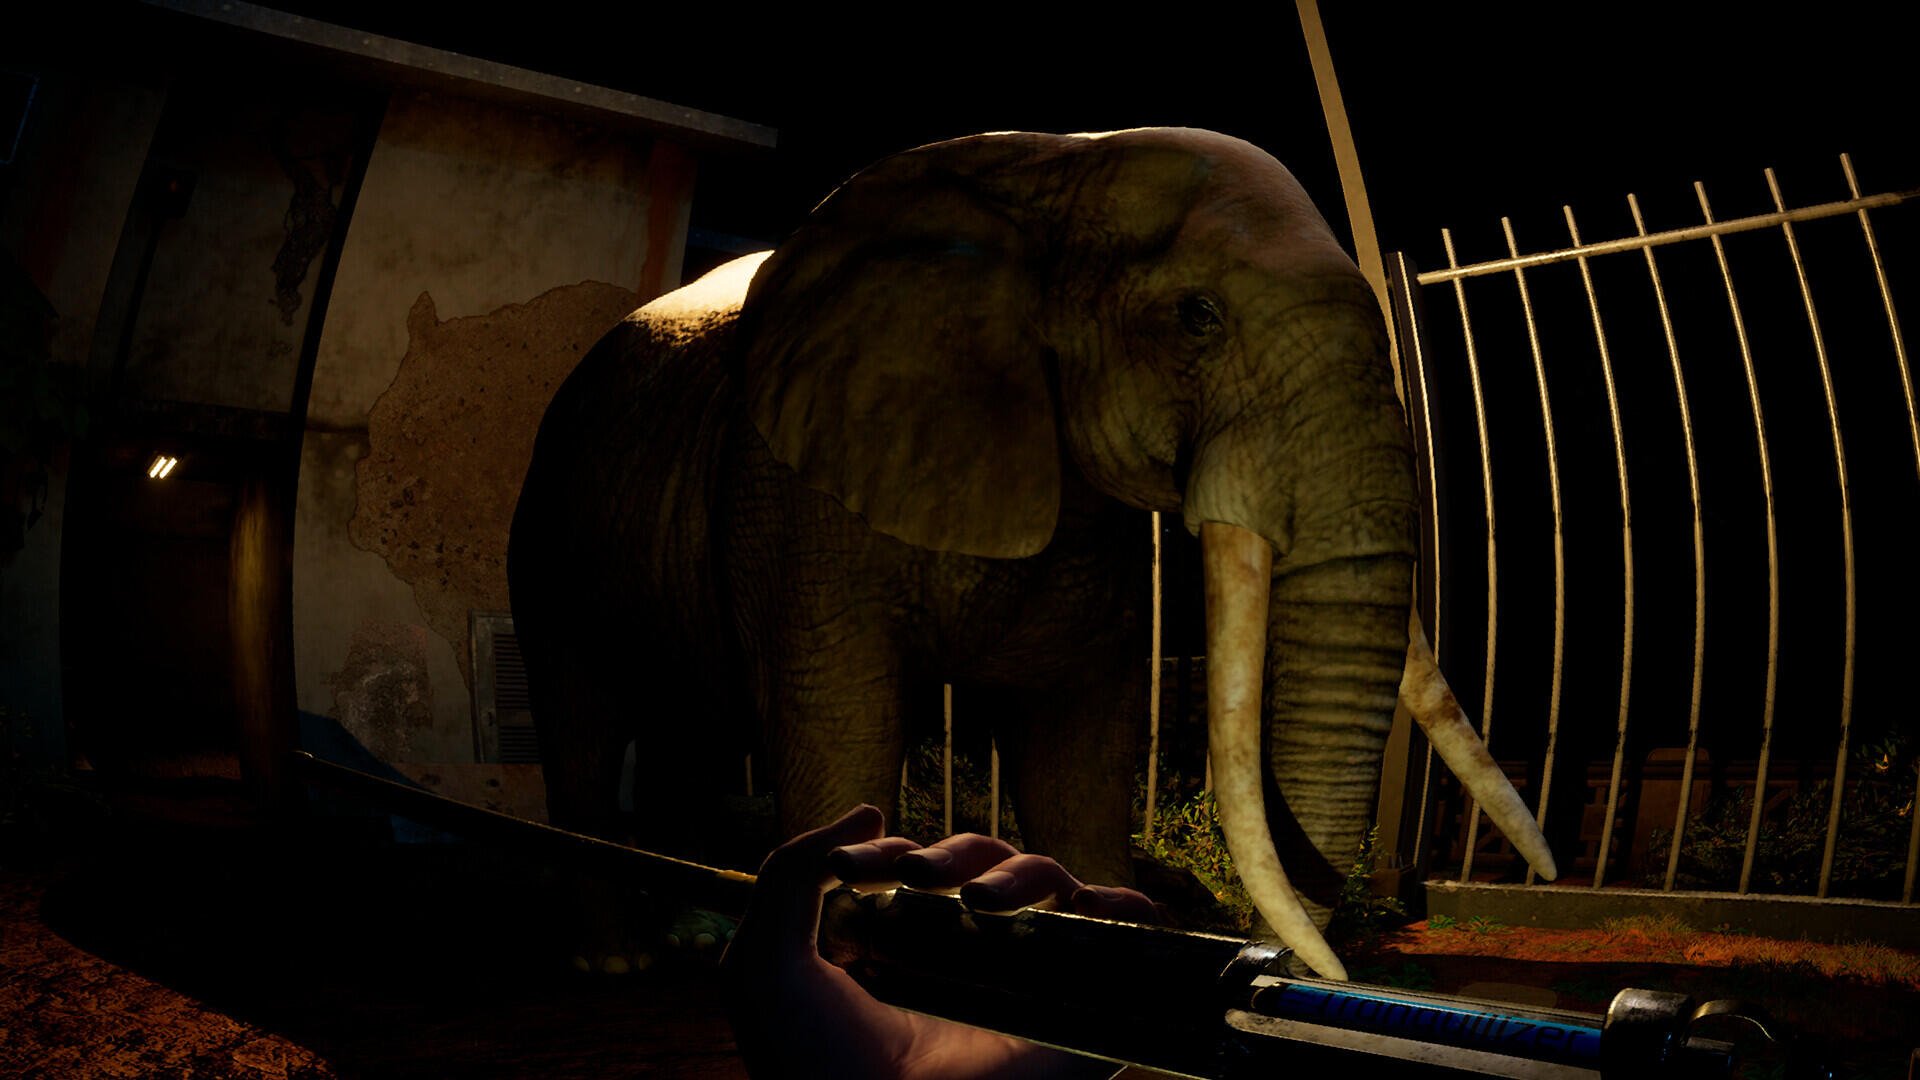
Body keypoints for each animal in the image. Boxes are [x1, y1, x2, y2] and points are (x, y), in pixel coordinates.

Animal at [506, 127, 1555, 980]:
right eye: (1199, 317)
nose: (1294, 963)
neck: (1050, 165)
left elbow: (1074, 754)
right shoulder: (792, 486)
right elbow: (840, 729)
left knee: (692, 726)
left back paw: (692, 936)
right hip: (547, 515)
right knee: (584, 728)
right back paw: (617, 960)